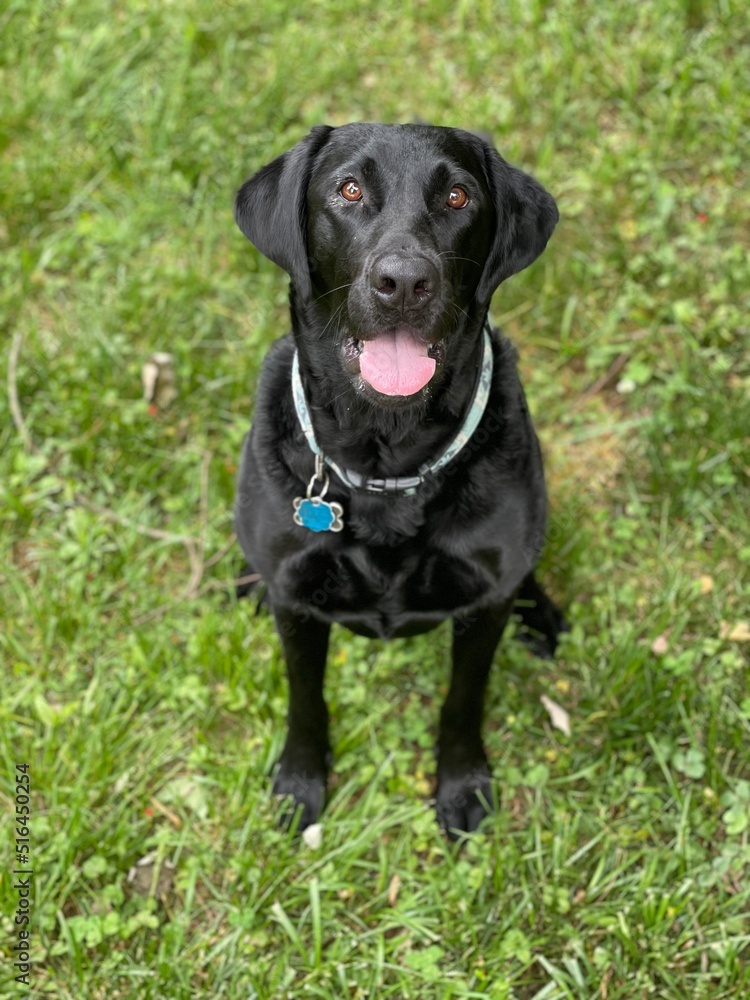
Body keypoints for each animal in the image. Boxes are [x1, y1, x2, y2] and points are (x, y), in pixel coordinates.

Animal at [232, 123, 568, 836]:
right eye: (348, 190)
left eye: (459, 196)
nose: (405, 281)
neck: (387, 461)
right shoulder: (298, 606)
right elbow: (306, 700)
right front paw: (299, 784)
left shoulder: (482, 606)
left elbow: (462, 702)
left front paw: (463, 787)